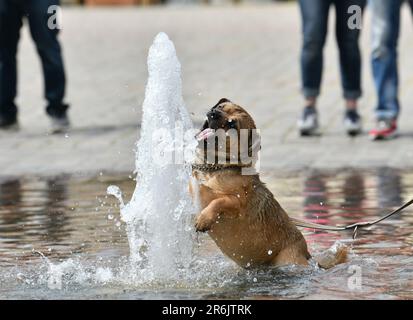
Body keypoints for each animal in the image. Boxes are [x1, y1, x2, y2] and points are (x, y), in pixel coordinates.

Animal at [192, 99, 346, 268]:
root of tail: (307, 255)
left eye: (232, 124)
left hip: (287, 260)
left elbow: (218, 201)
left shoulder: (237, 203)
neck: (214, 169)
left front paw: (204, 218)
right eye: (220, 107)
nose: (213, 112)